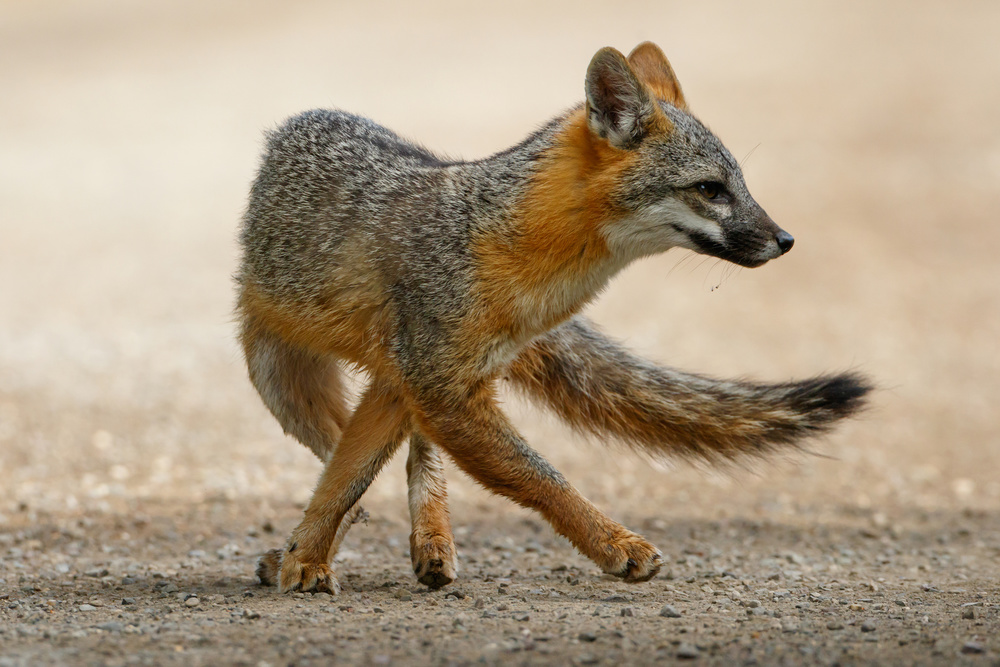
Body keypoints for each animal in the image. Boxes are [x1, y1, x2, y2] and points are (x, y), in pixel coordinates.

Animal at [238, 41, 872, 596]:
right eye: (710, 189)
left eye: (741, 186)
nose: (785, 240)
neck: (511, 254)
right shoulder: (437, 385)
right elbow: (531, 475)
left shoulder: (430, 385)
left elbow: (351, 477)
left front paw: (307, 559)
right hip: (283, 383)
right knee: (351, 461)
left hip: (390, 388)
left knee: (413, 462)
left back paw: (429, 545)